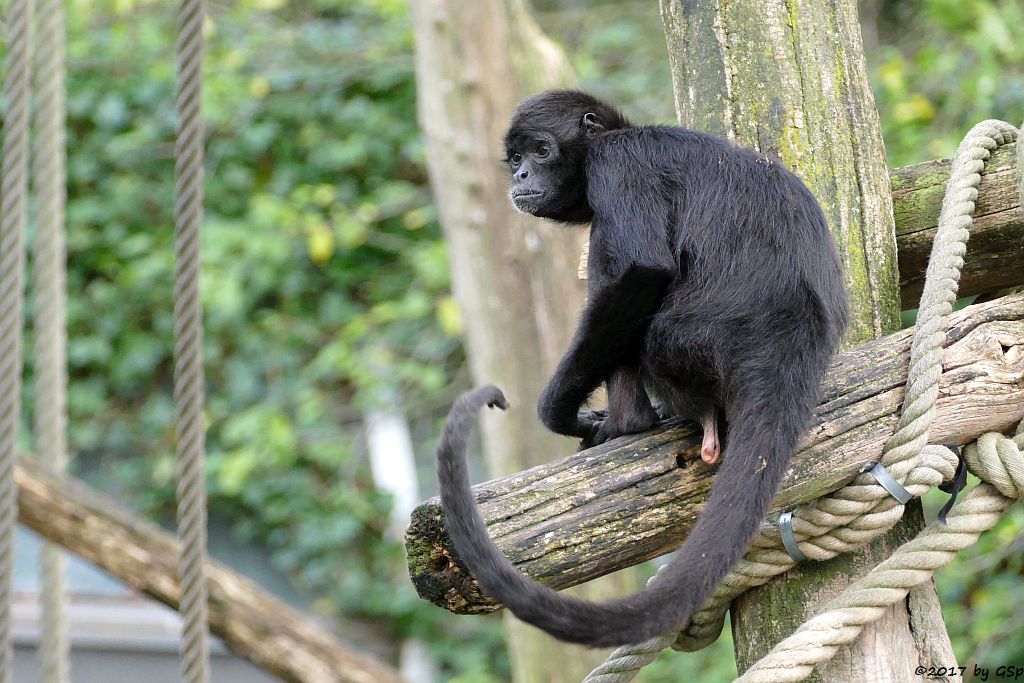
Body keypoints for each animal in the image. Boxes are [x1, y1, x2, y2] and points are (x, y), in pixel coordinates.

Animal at [436, 89, 851, 647]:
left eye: (540, 151)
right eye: (516, 158)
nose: (520, 174)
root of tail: (789, 340)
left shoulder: (617, 166)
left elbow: (641, 270)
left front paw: (564, 415)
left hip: (684, 341)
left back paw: (631, 423)